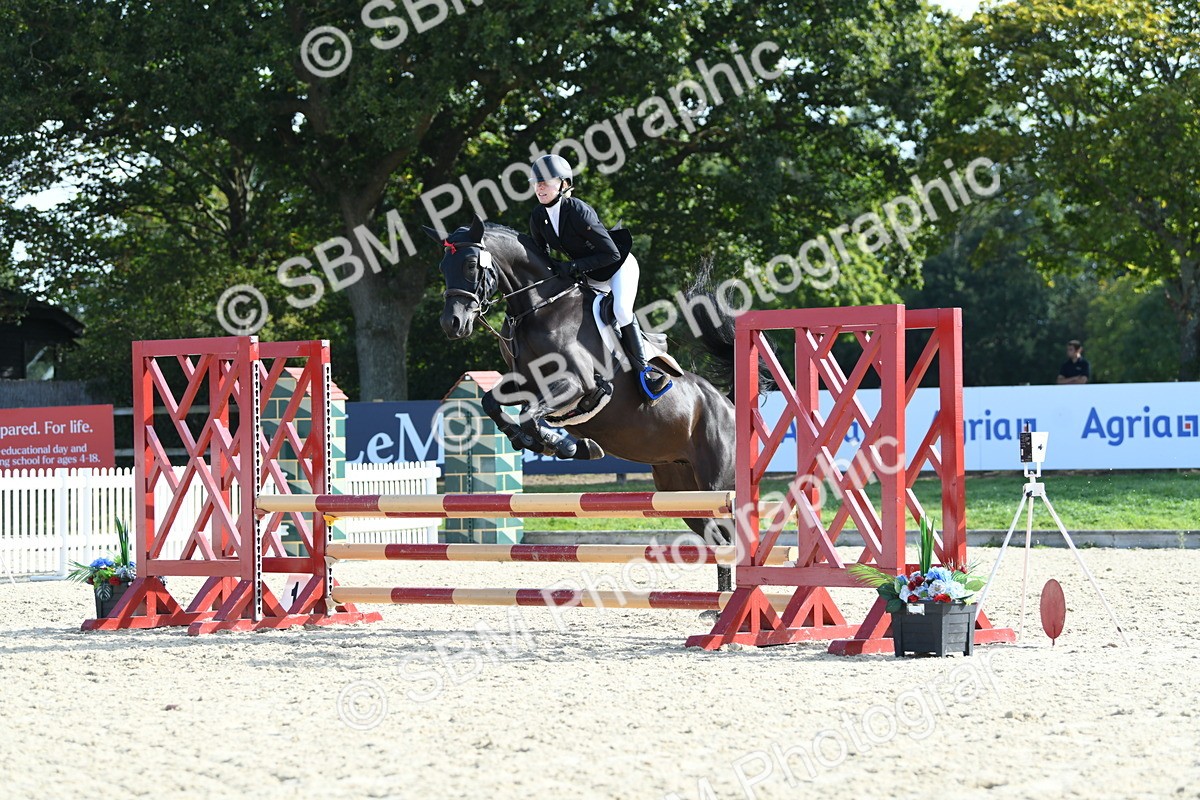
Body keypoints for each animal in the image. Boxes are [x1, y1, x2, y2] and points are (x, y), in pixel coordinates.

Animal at [423, 215, 739, 590]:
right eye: (442, 267)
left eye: (471, 264)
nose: (451, 324)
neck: (540, 309)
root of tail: (728, 406)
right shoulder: (525, 383)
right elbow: (491, 402)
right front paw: (541, 442)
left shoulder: (579, 385)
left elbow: (531, 415)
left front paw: (565, 445)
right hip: (679, 487)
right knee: (716, 538)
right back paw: (720, 602)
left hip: (717, 484)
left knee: (732, 535)